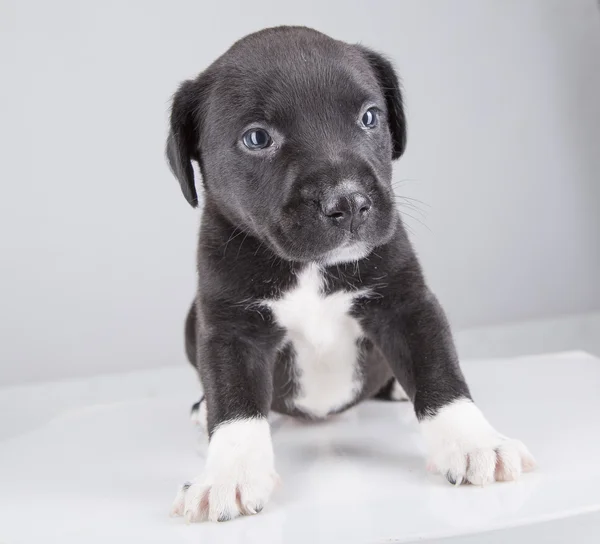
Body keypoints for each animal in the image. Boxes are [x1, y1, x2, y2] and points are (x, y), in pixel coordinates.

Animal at [165, 26, 536, 524]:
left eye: (370, 117)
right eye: (257, 138)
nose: (350, 201)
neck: (310, 267)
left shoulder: (406, 305)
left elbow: (440, 372)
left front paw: (475, 442)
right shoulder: (230, 329)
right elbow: (235, 401)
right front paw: (230, 474)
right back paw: (202, 406)